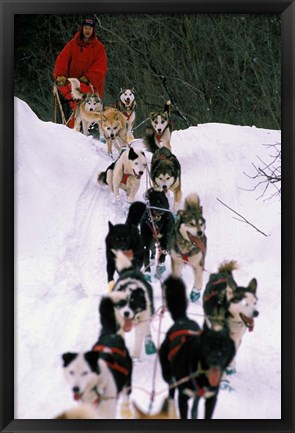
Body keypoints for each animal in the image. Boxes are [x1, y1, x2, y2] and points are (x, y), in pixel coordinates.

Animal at [160, 276, 236, 416]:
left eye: (224, 348)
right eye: (208, 347)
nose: (215, 361)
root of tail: (182, 320)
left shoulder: (211, 398)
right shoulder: (184, 397)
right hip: (169, 375)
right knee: (171, 391)